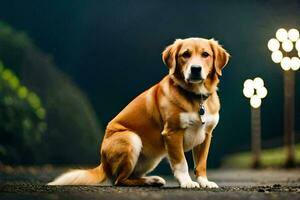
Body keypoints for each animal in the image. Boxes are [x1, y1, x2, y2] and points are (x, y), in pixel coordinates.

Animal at [48, 37, 230, 188]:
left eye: (205, 54)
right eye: (185, 54)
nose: (195, 69)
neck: (196, 97)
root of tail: (103, 163)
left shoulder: (206, 135)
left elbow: (201, 164)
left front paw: (204, 182)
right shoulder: (172, 133)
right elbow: (182, 163)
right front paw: (187, 182)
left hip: (151, 157)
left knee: (129, 176)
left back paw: (152, 180)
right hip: (131, 138)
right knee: (119, 180)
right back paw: (149, 181)